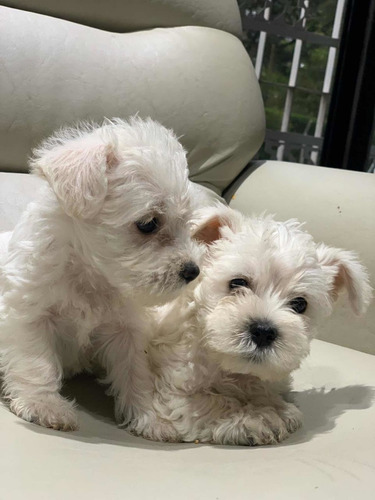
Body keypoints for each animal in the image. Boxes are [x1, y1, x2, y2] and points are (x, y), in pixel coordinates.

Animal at [0, 116, 203, 430]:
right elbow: (36, 361)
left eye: (186, 223)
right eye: (148, 224)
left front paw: (151, 416)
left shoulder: (125, 330)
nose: (193, 271)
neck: (90, 275)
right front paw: (44, 405)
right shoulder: (28, 314)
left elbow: (135, 371)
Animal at [135, 207, 374, 446]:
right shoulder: (173, 394)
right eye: (238, 283)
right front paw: (260, 417)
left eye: (300, 304)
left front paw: (273, 404)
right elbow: (212, 401)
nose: (263, 331)